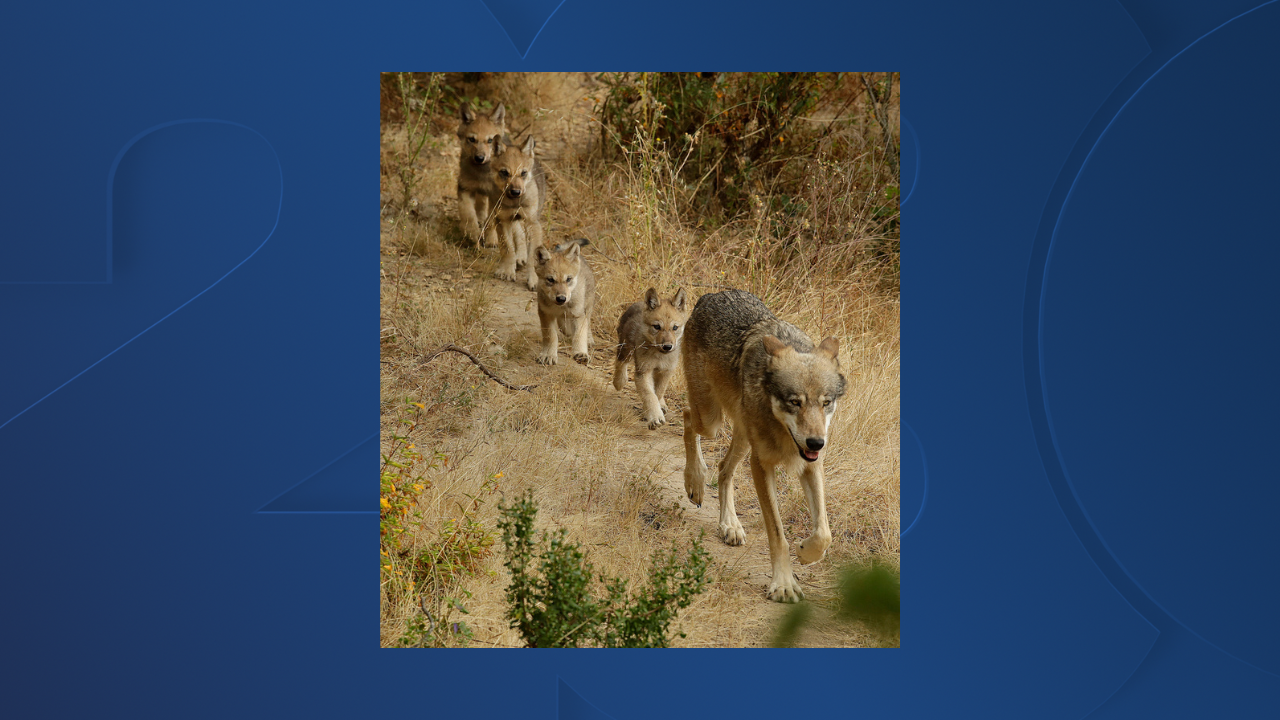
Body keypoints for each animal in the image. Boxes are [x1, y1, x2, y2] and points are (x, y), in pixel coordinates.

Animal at [455, 102, 505, 249]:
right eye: (472, 139)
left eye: (490, 140)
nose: (479, 158)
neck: (481, 174)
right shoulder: (465, 188)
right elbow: (468, 214)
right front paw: (472, 234)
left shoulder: (496, 197)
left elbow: (491, 221)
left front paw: (491, 240)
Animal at [491, 134, 547, 290]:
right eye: (505, 172)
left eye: (523, 173)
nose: (516, 192)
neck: (514, 203)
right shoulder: (502, 220)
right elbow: (507, 248)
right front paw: (507, 271)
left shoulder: (533, 224)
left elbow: (532, 257)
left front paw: (533, 279)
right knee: (518, 235)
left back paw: (521, 258)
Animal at [612, 287, 689, 429]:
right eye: (657, 327)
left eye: (675, 327)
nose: (667, 346)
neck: (660, 356)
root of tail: (638, 303)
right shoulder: (643, 371)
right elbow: (650, 395)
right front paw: (655, 417)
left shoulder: (666, 371)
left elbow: (657, 393)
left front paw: (650, 412)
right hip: (626, 349)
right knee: (620, 363)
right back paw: (619, 382)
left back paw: (663, 405)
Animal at [681, 289, 847, 603]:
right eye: (795, 402)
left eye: (826, 402)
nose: (816, 442)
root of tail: (712, 294)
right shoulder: (761, 465)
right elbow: (778, 534)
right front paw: (783, 584)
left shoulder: (811, 465)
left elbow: (824, 533)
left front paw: (806, 553)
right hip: (711, 421)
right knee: (686, 418)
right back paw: (694, 481)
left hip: (742, 438)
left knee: (723, 468)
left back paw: (730, 525)